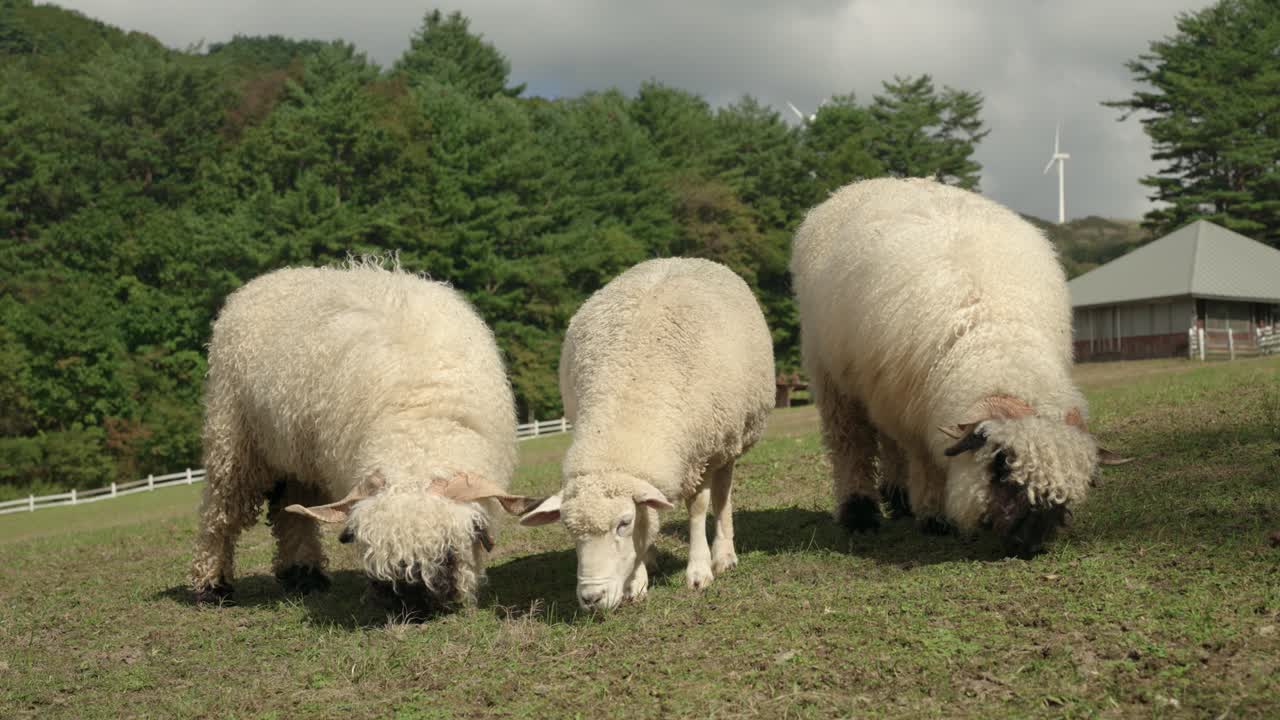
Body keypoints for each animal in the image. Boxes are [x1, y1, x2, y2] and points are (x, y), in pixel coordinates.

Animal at [190, 259, 531, 612]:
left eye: (447, 555)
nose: (410, 603)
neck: (417, 426)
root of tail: (264, 280)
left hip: (296, 451)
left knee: (291, 510)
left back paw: (303, 575)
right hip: (233, 438)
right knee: (220, 514)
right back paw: (212, 585)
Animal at [514, 258, 775, 611]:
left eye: (623, 523)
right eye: (568, 528)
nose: (591, 598)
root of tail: (679, 258)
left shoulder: (700, 454)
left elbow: (697, 509)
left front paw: (698, 571)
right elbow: (648, 520)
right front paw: (637, 580)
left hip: (729, 440)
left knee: (722, 496)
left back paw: (724, 555)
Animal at [790, 177, 1132, 558]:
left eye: (1066, 496)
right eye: (1001, 467)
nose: (1029, 545)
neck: (998, 343)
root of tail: (867, 183)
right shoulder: (916, 419)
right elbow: (926, 463)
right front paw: (935, 519)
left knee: (889, 444)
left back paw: (899, 501)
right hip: (833, 378)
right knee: (851, 444)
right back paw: (859, 514)